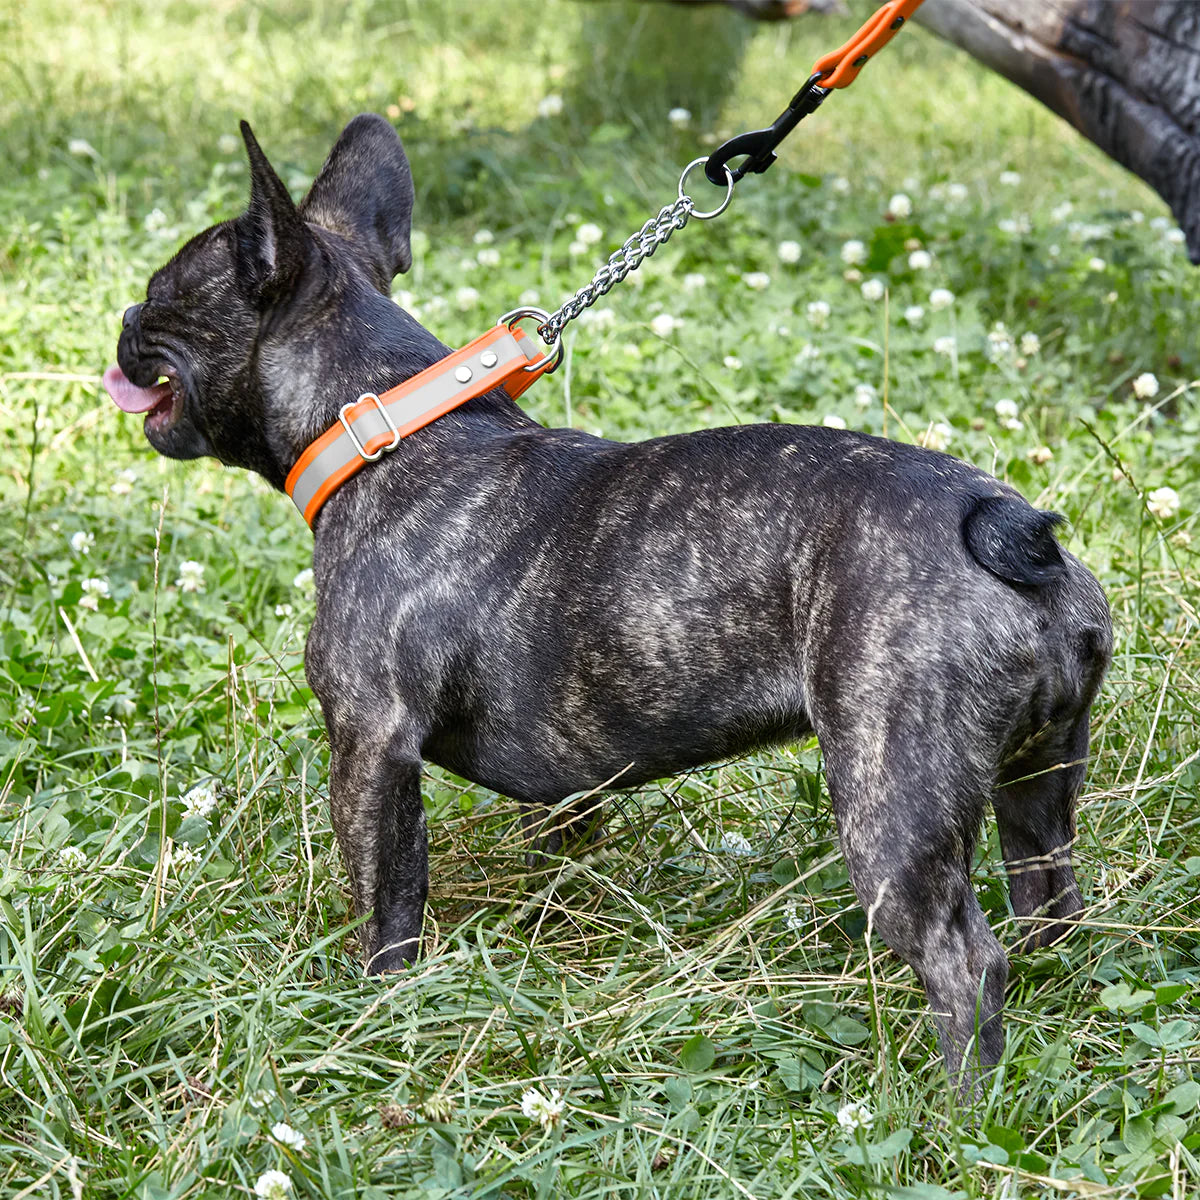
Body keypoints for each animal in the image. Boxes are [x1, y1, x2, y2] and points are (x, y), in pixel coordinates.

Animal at [105, 117, 1113, 1094]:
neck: (378, 429)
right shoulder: (562, 781)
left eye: (160, 294)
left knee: (964, 962)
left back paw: (951, 1113)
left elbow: (388, 901)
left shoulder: (370, 743)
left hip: (891, 799)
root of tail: (1006, 521)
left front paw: (373, 1009)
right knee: (1048, 897)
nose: (122, 317)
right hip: (1037, 780)